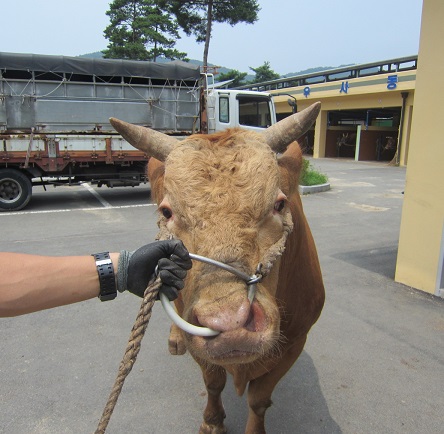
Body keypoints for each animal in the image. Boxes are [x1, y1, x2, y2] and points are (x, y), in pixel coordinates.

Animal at [110, 102, 326, 434]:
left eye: (279, 204)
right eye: (167, 212)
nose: (229, 323)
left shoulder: (295, 342)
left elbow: (258, 400)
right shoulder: (199, 344)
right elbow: (213, 383)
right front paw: (212, 422)